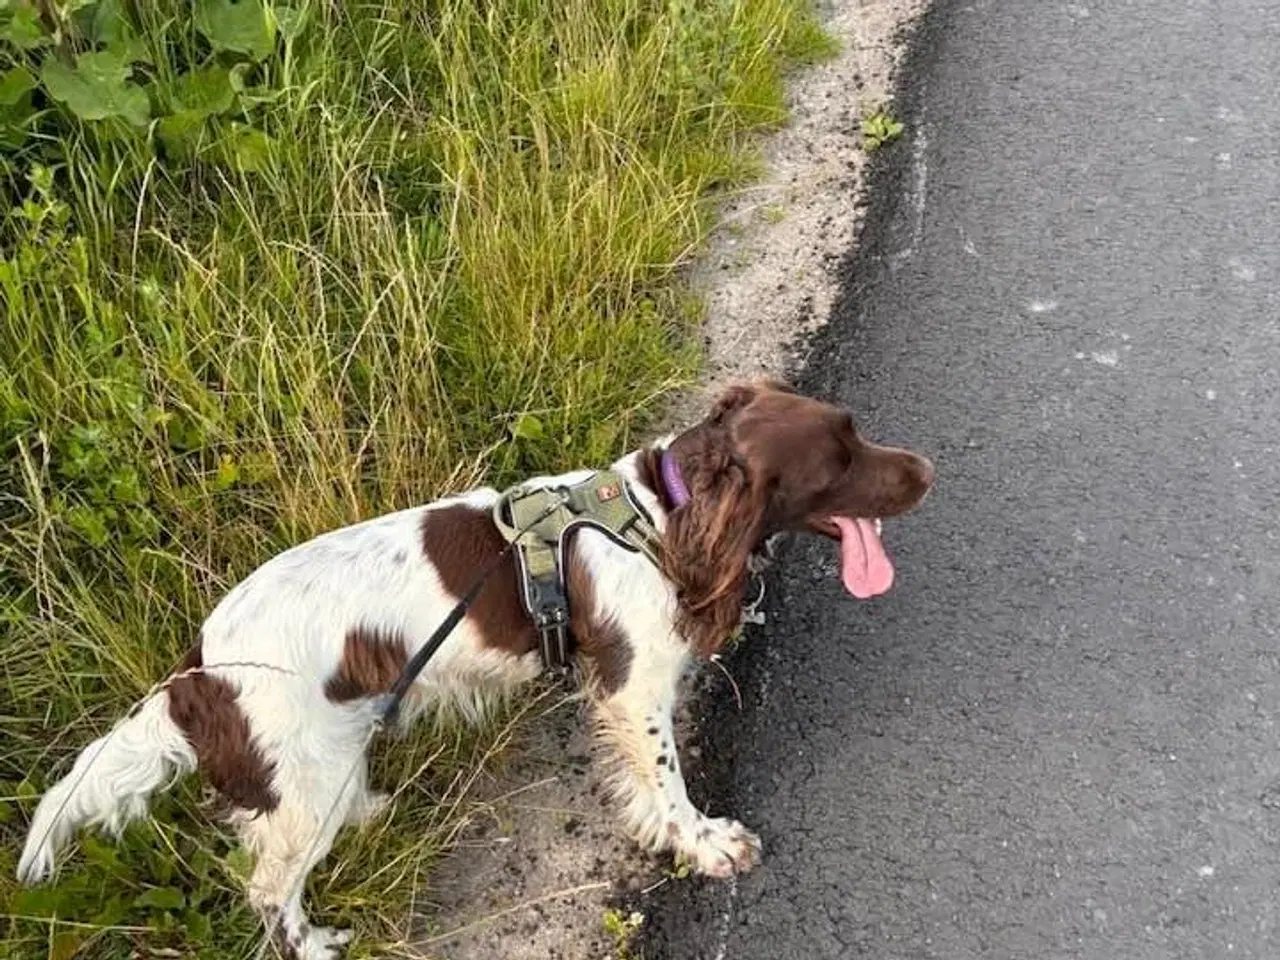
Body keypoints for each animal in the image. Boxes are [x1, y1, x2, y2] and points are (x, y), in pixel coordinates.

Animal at [15, 378, 936, 957]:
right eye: (839, 462)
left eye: (856, 430)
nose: (927, 470)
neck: (659, 519)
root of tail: (196, 673)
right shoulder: (632, 689)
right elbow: (669, 784)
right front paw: (707, 845)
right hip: (298, 787)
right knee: (270, 888)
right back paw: (316, 943)